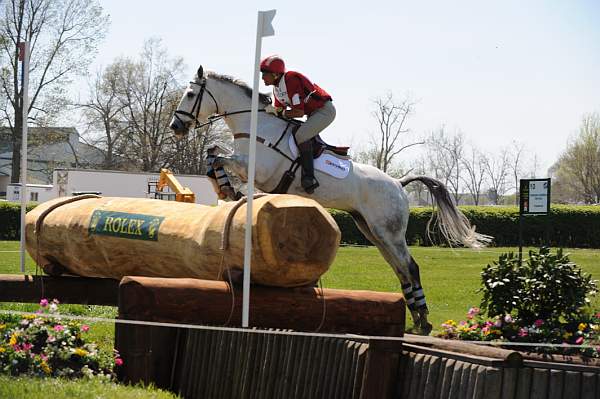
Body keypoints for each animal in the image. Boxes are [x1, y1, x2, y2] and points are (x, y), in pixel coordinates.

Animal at [166, 66, 490, 334]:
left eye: (191, 94)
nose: (175, 127)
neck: (255, 127)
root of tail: (398, 184)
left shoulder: (255, 169)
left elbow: (219, 157)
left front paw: (228, 188)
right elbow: (213, 152)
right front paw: (224, 187)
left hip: (388, 230)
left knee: (410, 266)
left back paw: (423, 320)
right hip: (372, 231)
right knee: (399, 268)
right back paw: (416, 316)